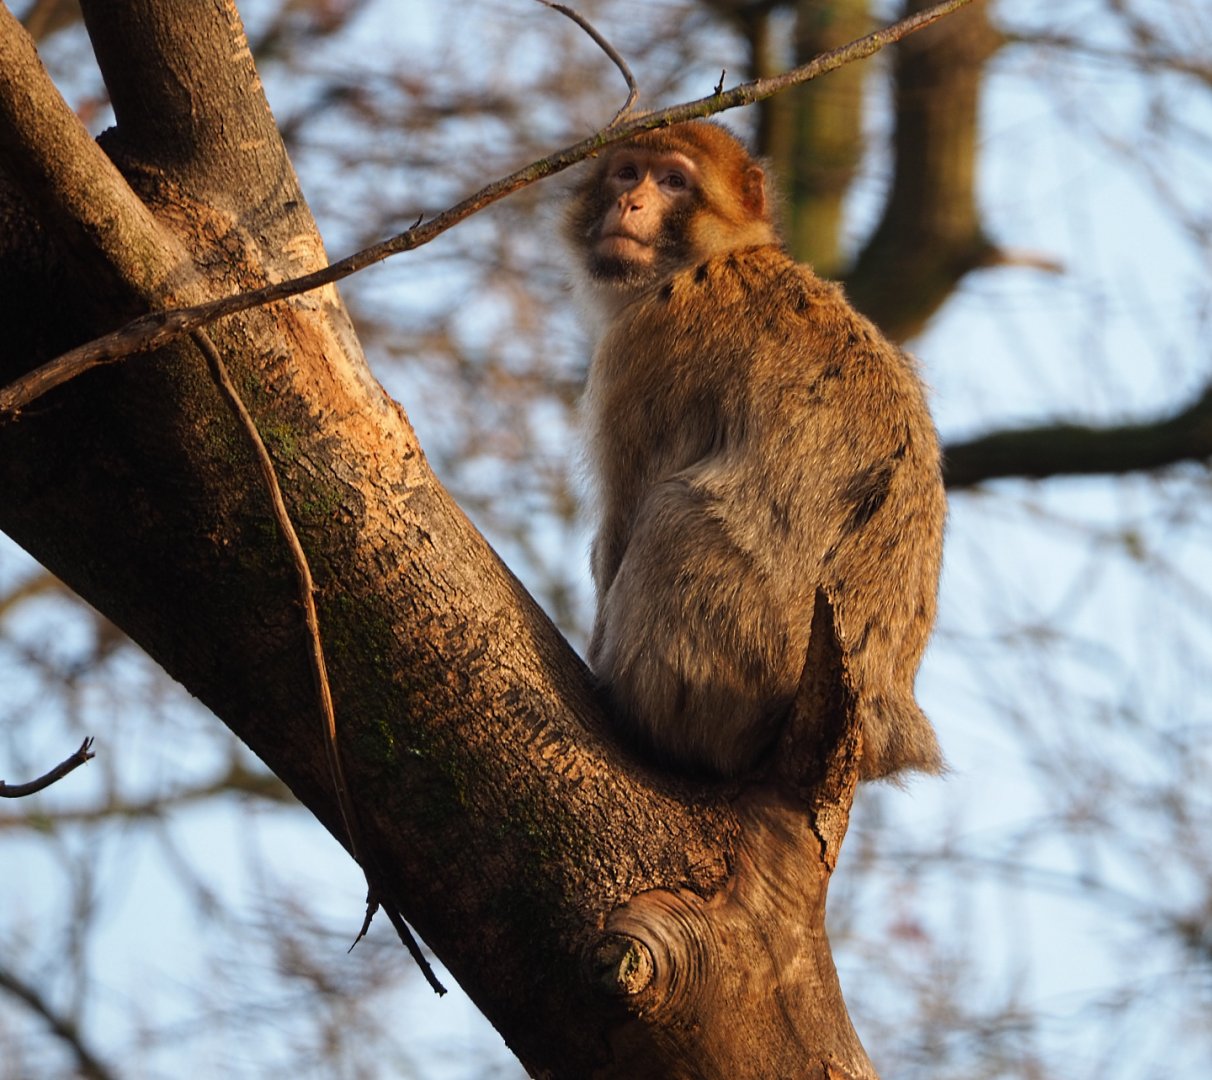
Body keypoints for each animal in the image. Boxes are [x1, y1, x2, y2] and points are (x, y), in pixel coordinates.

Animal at [563, 119, 946, 782]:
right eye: (626, 172)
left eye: (673, 181)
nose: (629, 201)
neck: (713, 259)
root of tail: (881, 716)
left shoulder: (644, 349)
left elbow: (626, 515)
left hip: (736, 659)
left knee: (672, 514)